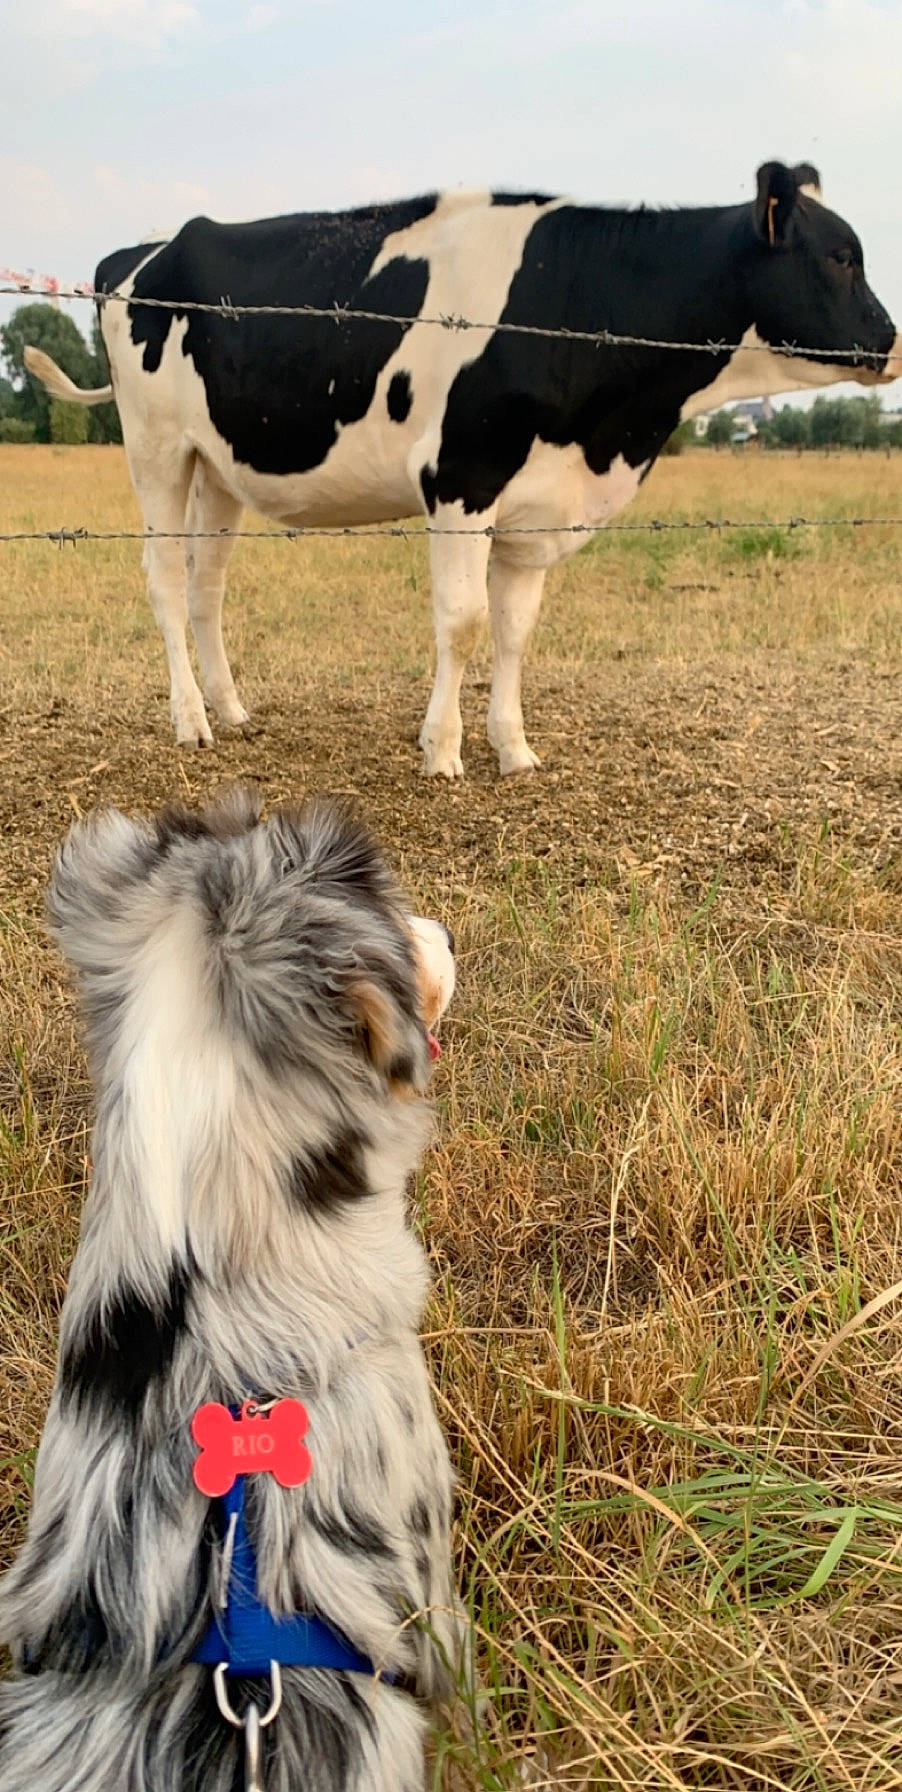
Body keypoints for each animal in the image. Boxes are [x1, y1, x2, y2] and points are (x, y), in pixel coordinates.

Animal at [26, 161, 898, 776]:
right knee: (165, 580)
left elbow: (514, 630)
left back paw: (233, 709)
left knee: (207, 585)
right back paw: (191, 722)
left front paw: (513, 748)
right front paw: (441, 750)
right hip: (157, 450)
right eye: (840, 256)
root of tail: (143, 249)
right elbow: (463, 619)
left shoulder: (535, 504)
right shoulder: (461, 477)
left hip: (217, 466)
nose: (890, 342)